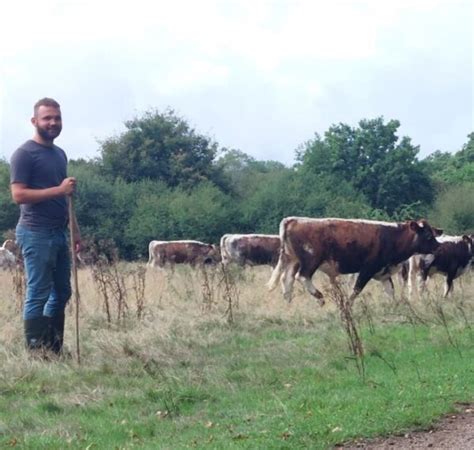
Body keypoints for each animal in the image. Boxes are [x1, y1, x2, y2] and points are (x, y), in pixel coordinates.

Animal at [268, 218, 442, 306]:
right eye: (428, 236)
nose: (438, 246)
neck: (391, 237)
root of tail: (294, 220)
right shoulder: (367, 269)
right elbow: (357, 289)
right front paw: (347, 304)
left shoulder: (384, 272)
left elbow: (390, 291)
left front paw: (395, 306)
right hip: (311, 260)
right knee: (302, 277)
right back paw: (320, 298)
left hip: (292, 260)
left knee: (287, 279)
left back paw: (288, 304)